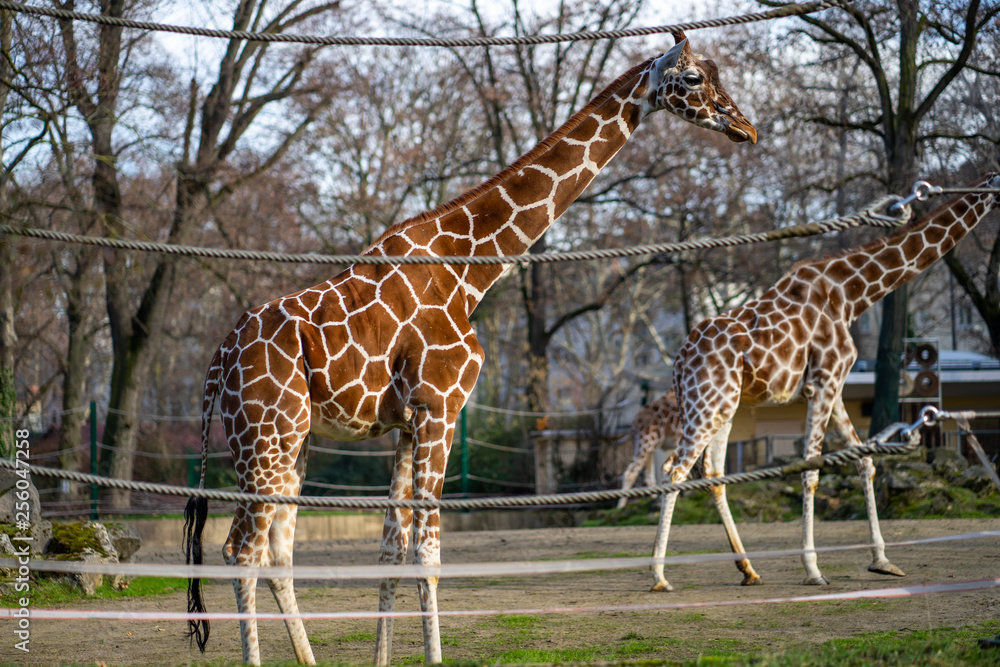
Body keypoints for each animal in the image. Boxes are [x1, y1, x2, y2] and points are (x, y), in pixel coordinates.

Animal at [182, 32, 756, 667]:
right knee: (240, 551)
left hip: (289, 443)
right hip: (266, 437)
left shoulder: (408, 424)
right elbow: (428, 556)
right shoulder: (441, 410)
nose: (744, 127)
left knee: (277, 552)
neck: (469, 272)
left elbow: (391, 554)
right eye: (694, 79)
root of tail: (218, 361)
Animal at [644, 170, 996, 592]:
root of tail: (679, 362)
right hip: (709, 404)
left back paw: (749, 570)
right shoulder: (824, 382)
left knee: (712, 476)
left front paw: (882, 560)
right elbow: (811, 470)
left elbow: (864, 461)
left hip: (722, 405)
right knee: (676, 471)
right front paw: (813, 569)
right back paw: (659, 575)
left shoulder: (836, 385)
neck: (851, 295)